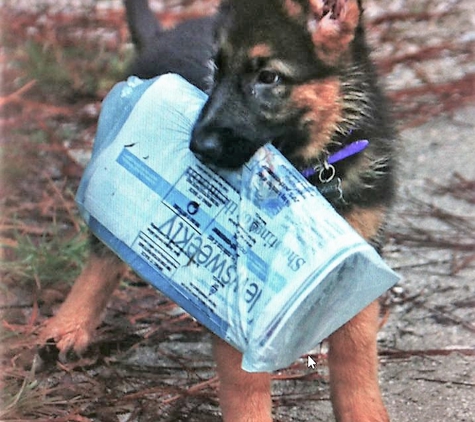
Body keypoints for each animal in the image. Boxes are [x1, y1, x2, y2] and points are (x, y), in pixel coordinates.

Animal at [41, 1, 398, 420]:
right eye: (216, 69)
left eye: (268, 77)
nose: (197, 146)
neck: (314, 165)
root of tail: (161, 36)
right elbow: (245, 384)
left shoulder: (361, 259)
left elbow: (357, 354)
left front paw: (366, 410)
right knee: (103, 256)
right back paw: (68, 325)